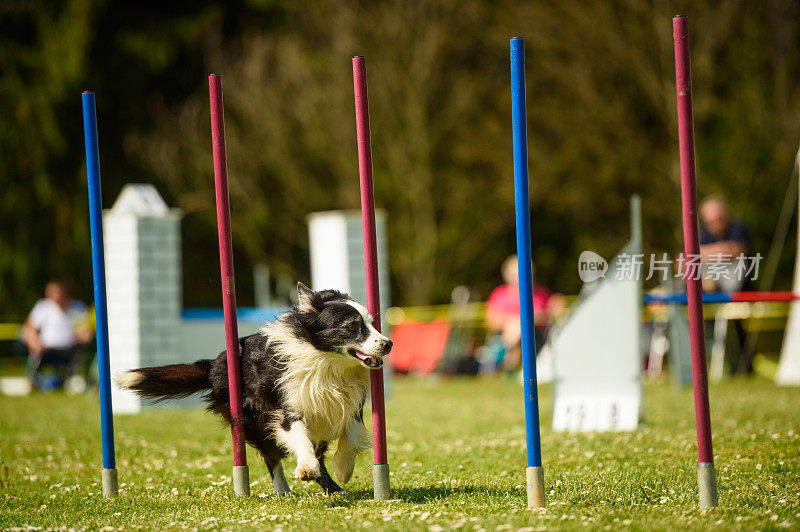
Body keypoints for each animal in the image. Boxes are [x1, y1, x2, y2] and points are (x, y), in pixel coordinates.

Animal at [116, 282, 394, 494]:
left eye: (371, 323)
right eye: (351, 326)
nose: (388, 344)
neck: (327, 364)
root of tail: (215, 364)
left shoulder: (348, 404)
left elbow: (350, 433)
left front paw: (344, 469)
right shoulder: (284, 408)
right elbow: (298, 435)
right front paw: (307, 466)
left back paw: (334, 488)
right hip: (252, 419)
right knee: (272, 457)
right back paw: (284, 490)